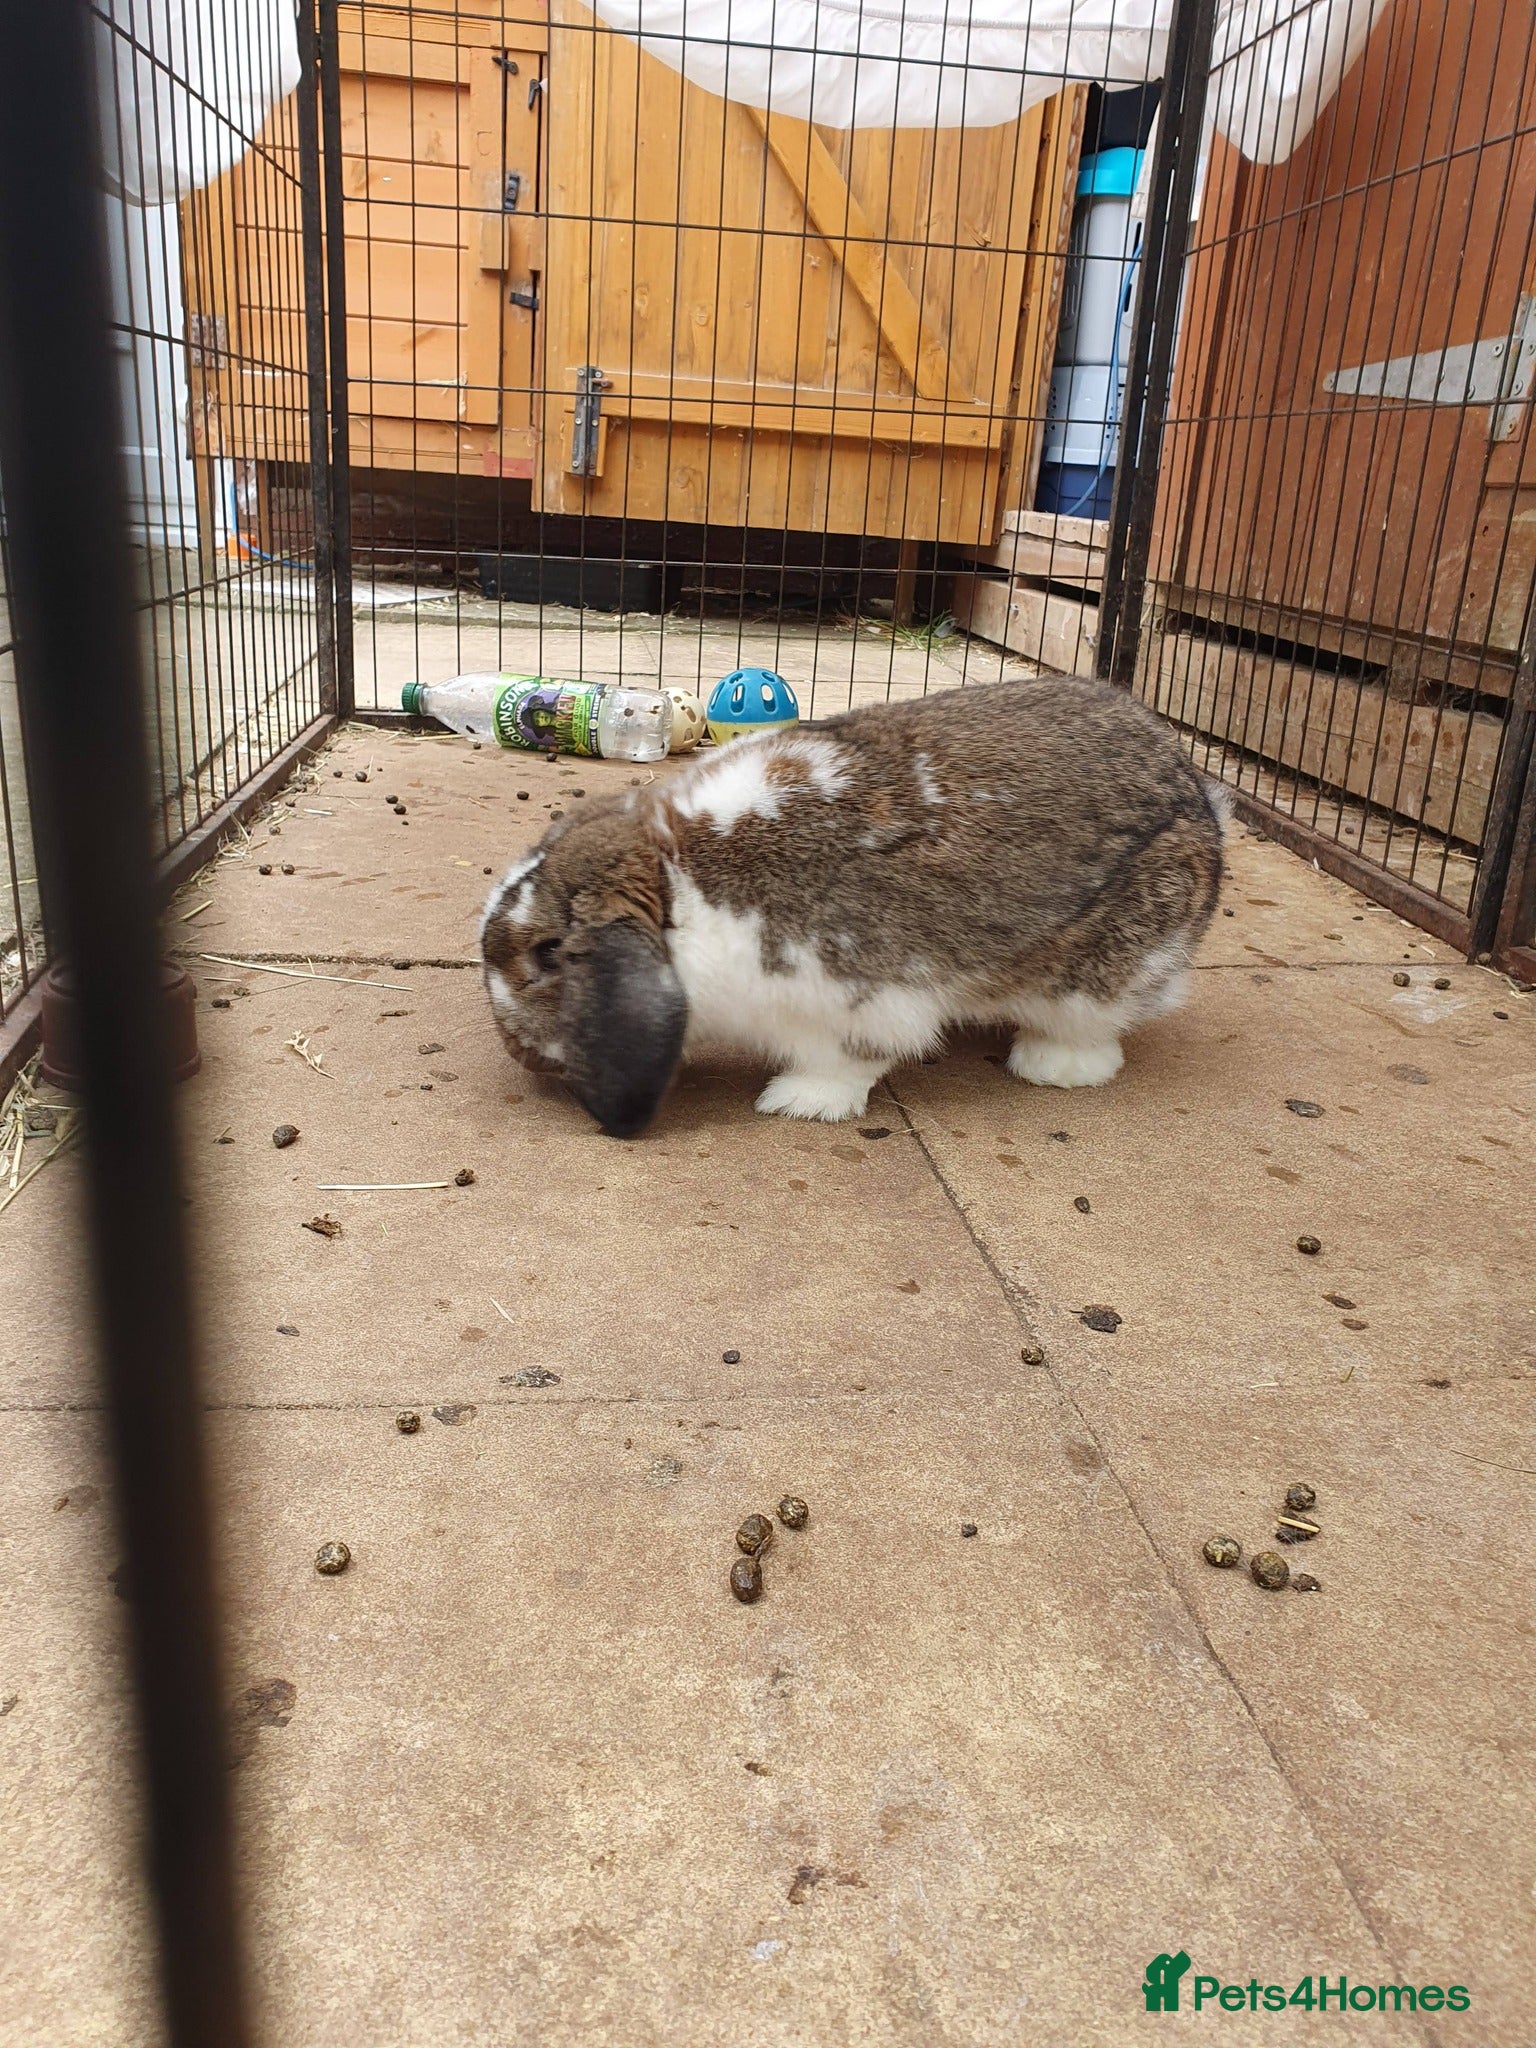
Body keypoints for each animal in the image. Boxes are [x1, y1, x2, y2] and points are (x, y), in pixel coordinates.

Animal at [481, 675, 1225, 1136]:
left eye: (547, 952)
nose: (514, 1051)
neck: (677, 885)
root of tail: (1200, 796)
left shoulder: (857, 1000)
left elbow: (850, 1061)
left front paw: (798, 1102)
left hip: (1104, 968)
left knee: (1097, 1027)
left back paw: (1052, 1067)